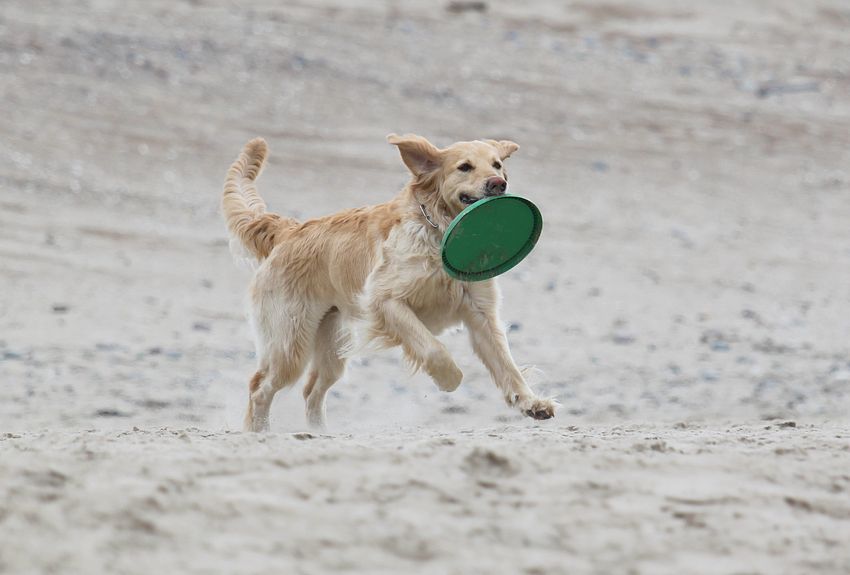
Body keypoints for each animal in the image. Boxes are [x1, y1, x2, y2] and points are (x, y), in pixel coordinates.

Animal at [222, 133, 556, 431]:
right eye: (465, 167)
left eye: (497, 164)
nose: (499, 184)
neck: (438, 232)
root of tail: (289, 231)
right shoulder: (385, 301)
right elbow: (433, 348)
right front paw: (448, 379)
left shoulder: (480, 313)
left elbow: (507, 365)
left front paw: (532, 403)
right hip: (290, 342)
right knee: (260, 387)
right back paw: (260, 431)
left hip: (332, 345)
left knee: (312, 391)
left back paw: (320, 432)